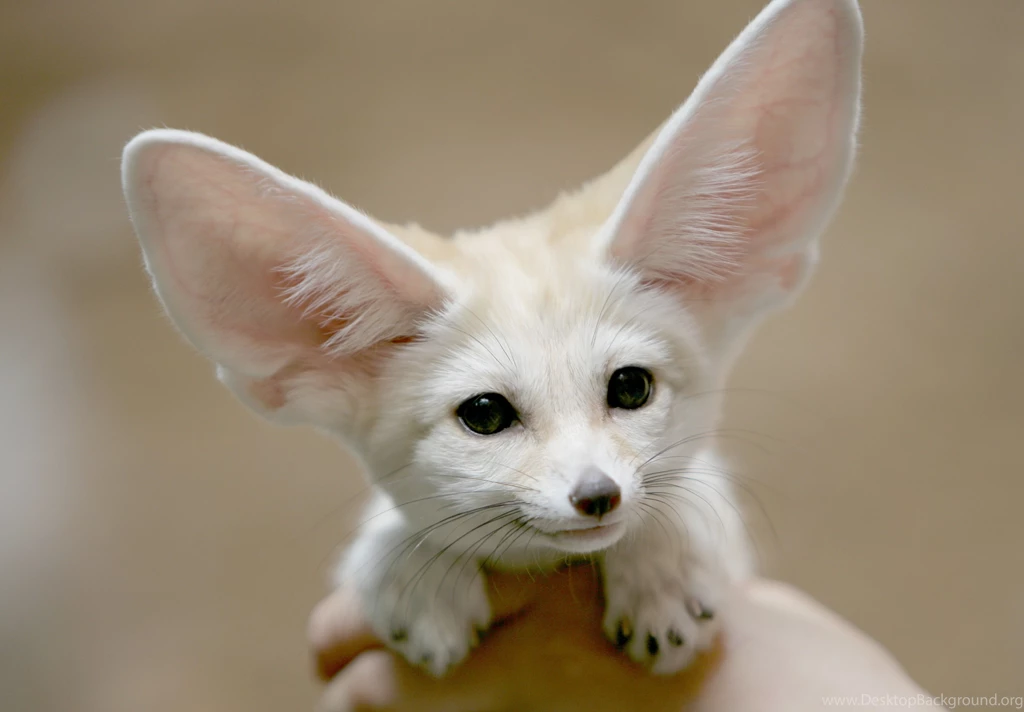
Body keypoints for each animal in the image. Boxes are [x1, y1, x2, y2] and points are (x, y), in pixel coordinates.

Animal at [121, 0, 862, 678]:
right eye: (484, 414)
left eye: (630, 386)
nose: (598, 495)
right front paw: (414, 569)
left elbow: (687, 490)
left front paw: (662, 568)